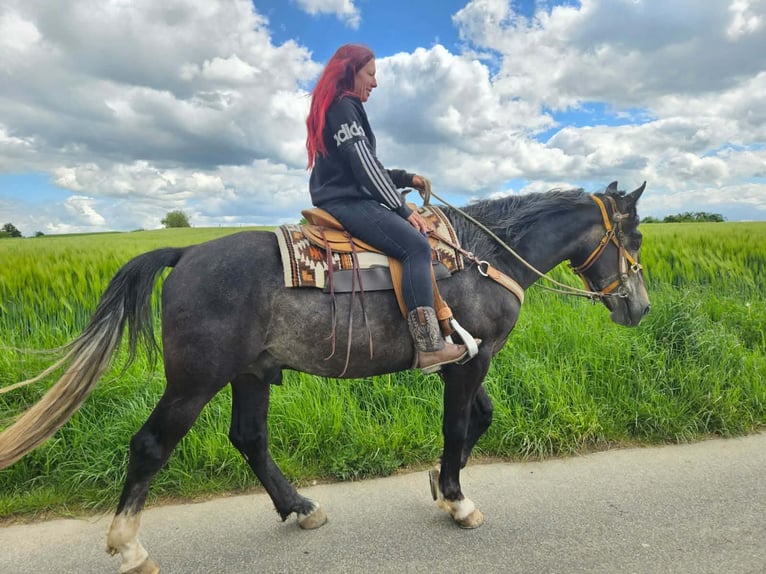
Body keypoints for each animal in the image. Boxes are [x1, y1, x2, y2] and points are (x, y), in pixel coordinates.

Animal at [0, 181, 649, 574]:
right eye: (636, 236)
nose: (639, 307)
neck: (481, 258)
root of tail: (185, 255)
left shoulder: (465, 360)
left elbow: (477, 420)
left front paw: (441, 485)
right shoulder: (472, 360)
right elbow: (457, 425)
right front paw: (459, 500)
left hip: (250, 374)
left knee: (250, 438)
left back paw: (300, 507)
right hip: (194, 382)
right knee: (150, 446)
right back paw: (130, 548)